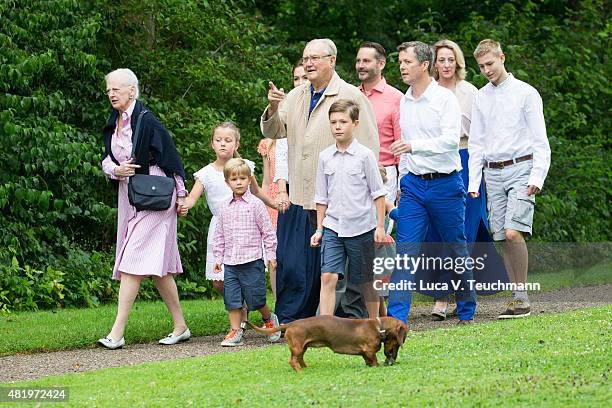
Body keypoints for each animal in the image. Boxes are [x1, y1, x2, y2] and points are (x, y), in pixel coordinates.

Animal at [246, 316, 408, 372]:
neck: (379, 326)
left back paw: (306, 368)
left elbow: (368, 360)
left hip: (302, 348)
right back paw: (299, 371)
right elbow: (373, 361)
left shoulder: (365, 353)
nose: (392, 357)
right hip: (298, 348)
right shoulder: (369, 351)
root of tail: (292, 323)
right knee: (292, 361)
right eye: (398, 342)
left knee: (299, 359)